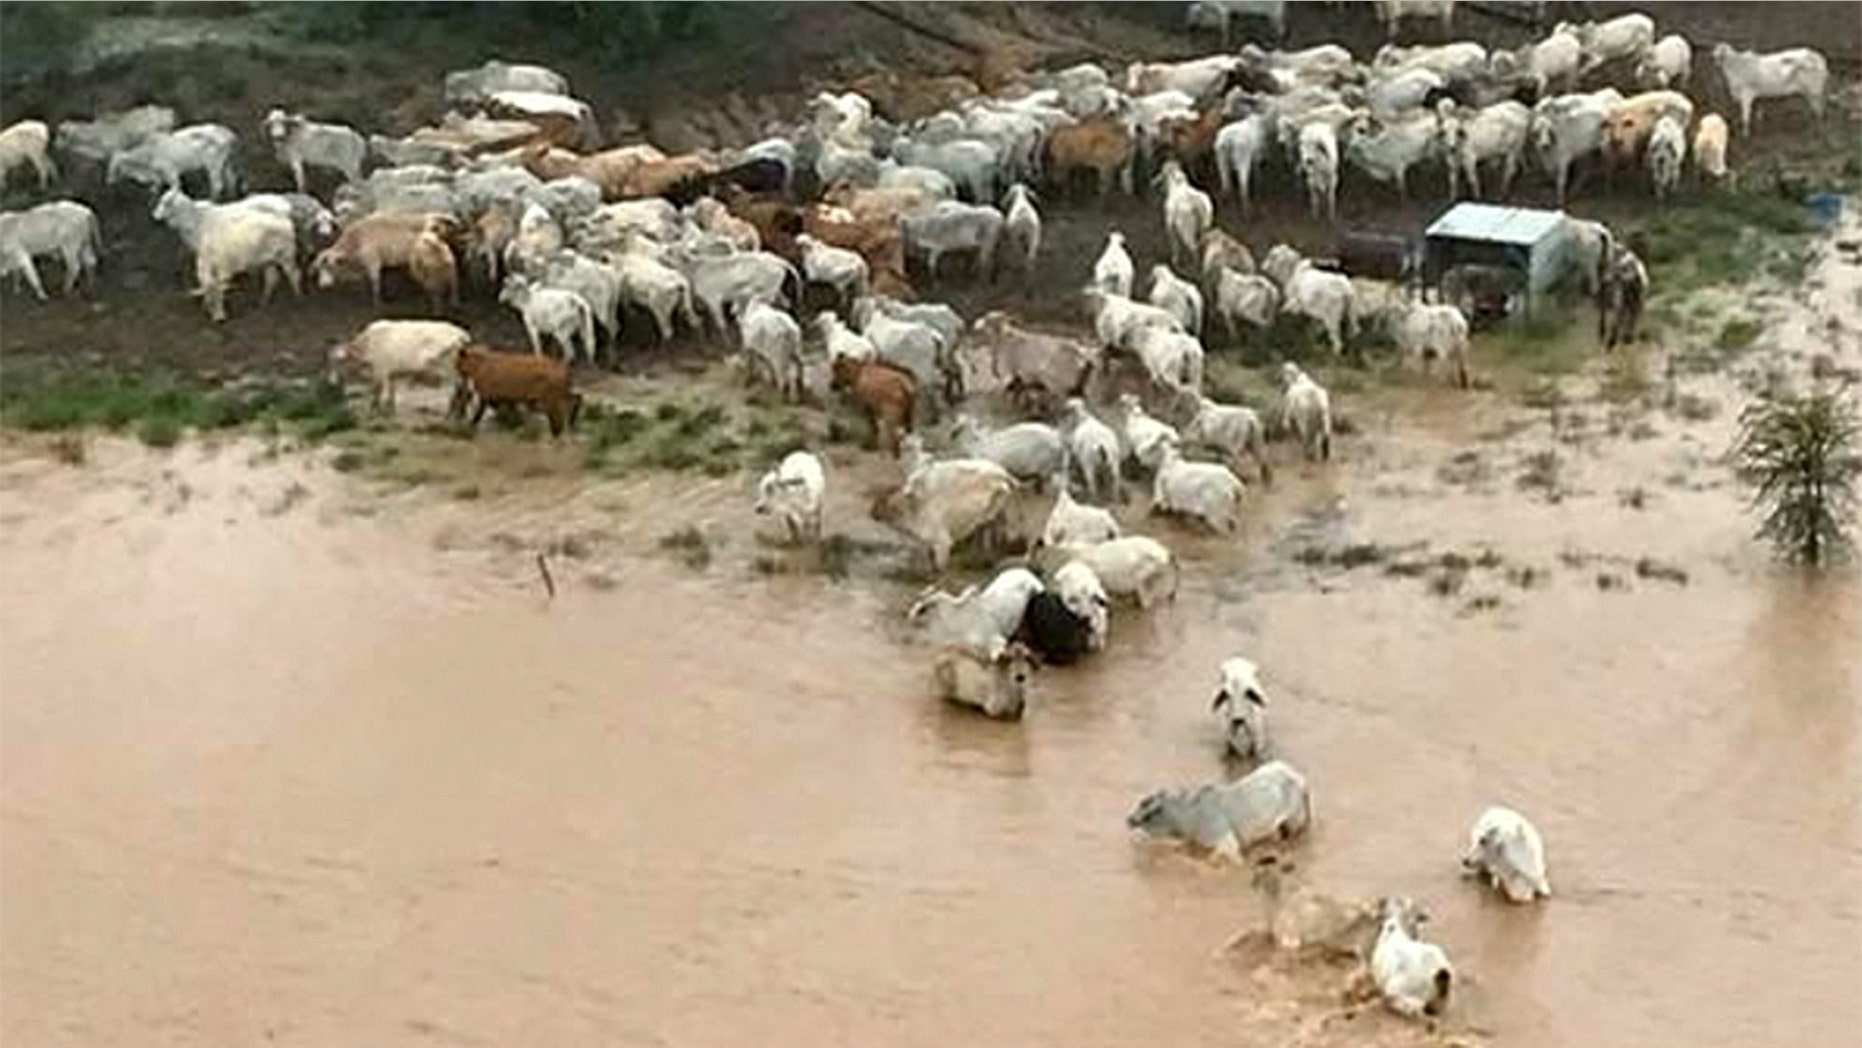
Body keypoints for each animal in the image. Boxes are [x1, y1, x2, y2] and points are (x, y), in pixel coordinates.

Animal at [452, 342, 580, 437]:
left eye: (457, 364)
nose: (457, 376)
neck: (481, 364)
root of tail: (564, 367)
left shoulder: (488, 396)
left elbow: (480, 414)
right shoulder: (504, 398)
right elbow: (509, 413)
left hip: (551, 399)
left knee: (564, 410)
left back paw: (562, 428)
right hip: (555, 397)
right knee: (575, 400)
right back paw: (567, 425)